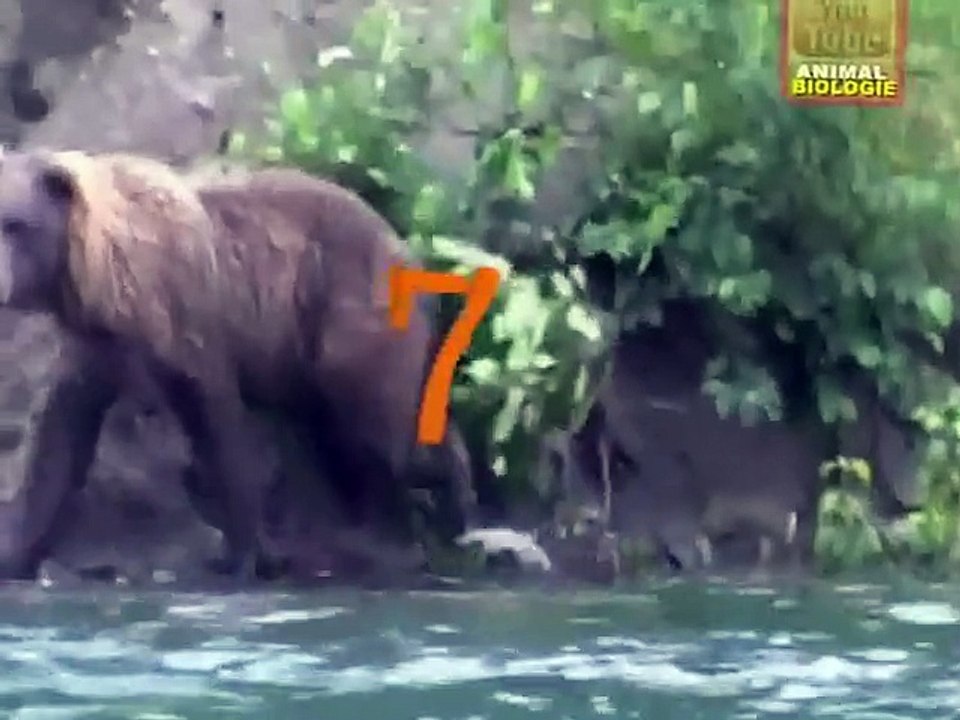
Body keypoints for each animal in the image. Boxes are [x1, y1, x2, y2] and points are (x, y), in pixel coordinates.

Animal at [0, 148, 471, 580]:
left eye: (15, 224)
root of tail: (406, 245)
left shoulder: (185, 319)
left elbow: (216, 423)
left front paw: (244, 553)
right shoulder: (94, 347)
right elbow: (59, 439)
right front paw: (17, 552)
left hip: (344, 308)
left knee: (379, 426)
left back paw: (448, 506)